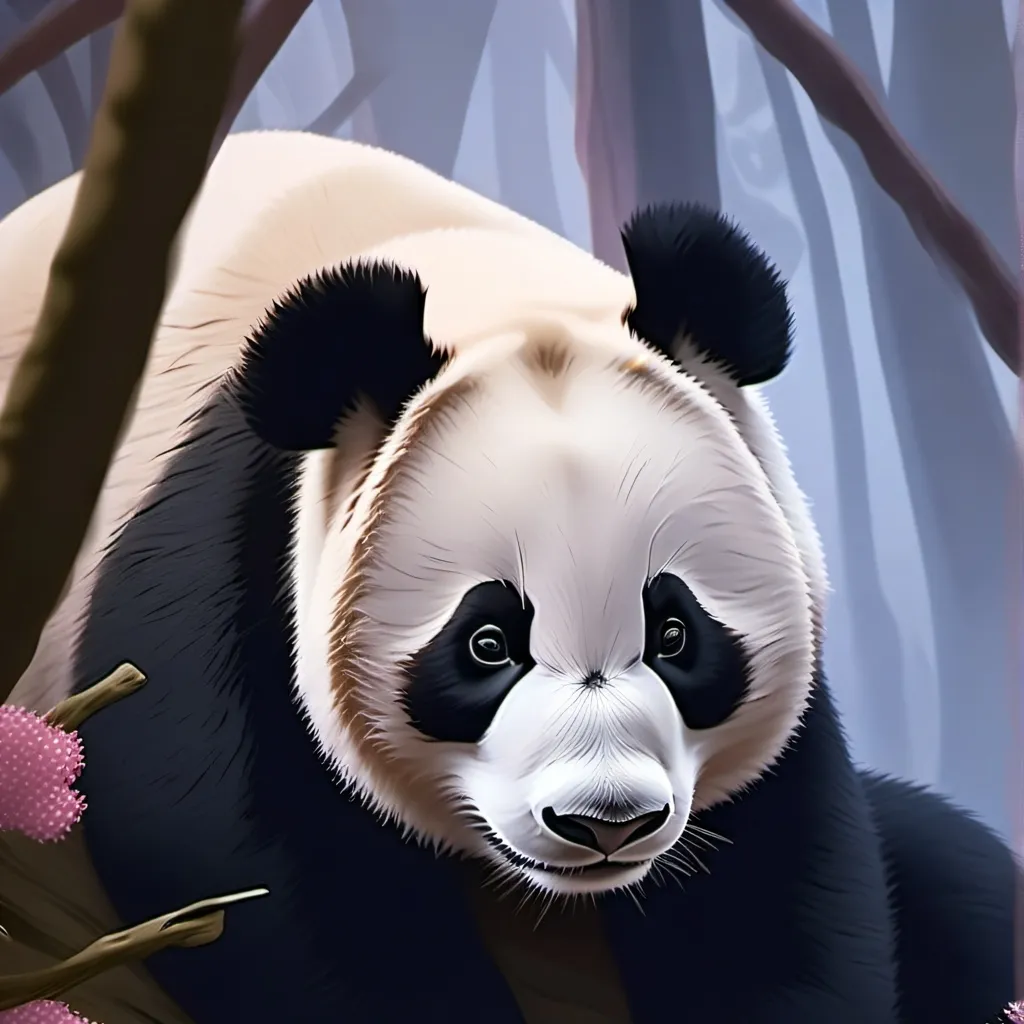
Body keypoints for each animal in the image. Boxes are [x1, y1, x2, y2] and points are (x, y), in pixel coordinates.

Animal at [0, 129, 1014, 1024]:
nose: (606, 822)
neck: (485, 290)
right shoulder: (215, 548)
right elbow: (242, 860)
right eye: (487, 644)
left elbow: (773, 894)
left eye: (677, 635)